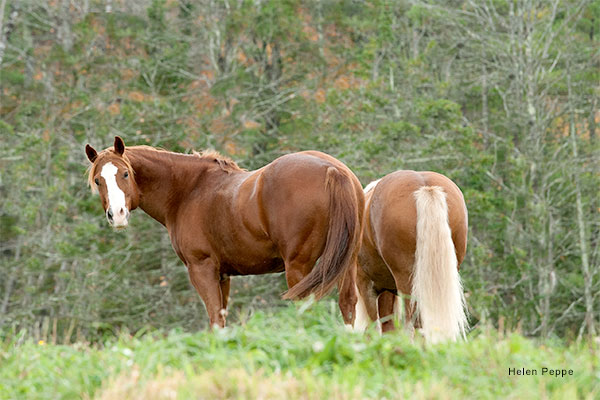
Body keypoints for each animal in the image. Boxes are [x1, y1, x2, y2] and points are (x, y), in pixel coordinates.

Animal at [85, 138, 364, 328]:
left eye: (125, 173)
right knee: (348, 303)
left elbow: (215, 320)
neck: (188, 190)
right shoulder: (223, 275)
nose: (117, 215)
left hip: (299, 266)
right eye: (98, 180)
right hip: (346, 261)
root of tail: (332, 170)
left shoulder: (201, 268)